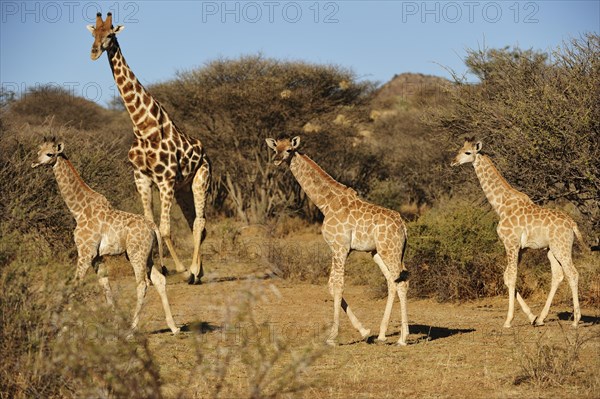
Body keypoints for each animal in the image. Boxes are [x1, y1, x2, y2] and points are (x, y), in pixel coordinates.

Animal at [31, 139, 179, 336]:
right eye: (38, 151)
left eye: (49, 154)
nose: (34, 163)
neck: (78, 211)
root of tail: (153, 226)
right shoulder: (97, 256)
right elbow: (106, 286)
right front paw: (114, 325)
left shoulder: (85, 252)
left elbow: (76, 284)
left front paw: (63, 328)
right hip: (145, 255)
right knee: (159, 279)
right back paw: (174, 327)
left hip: (136, 254)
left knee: (142, 284)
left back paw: (132, 329)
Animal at [86, 12, 209, 284]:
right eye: (93, 34)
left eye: (110, 34)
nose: (93, 52)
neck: (143, 126)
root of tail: (205, 151)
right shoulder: (141, 177)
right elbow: (151, 224)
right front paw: (158, 270)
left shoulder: (165, 180)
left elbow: (164, 229)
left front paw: (181, 270)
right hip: (183, 189)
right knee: (196, 223)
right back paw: (199, 271)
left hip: (201, 178)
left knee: (199, 221)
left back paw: (194, 271)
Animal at [266, 138, 410, 346]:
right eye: (275, 148)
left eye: (289, 150)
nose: (276, 160)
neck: (326, 203)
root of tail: (403, 227)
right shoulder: (336, 248)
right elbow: (330, 286)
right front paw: (365, 331)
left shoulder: (340, 247)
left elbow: (338, 285)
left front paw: (332, 337)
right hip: (377, 252)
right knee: (392, 281)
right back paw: (382, 335)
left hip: (390, 251)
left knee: (402, 282)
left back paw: (403, 338)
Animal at [452, 140, 584, 328]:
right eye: (460, 150)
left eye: (468, 153)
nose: (454, 161)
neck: (501, 205)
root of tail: (572, 224)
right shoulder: (520, 248)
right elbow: (507, 277)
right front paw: (532, 317)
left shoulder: (510, 243)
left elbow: (512, 276)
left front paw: (508, 320)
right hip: (551, 250)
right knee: (558, 275)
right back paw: (541, 318)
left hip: (562, 247)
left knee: (572, 273)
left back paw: (575, 320)